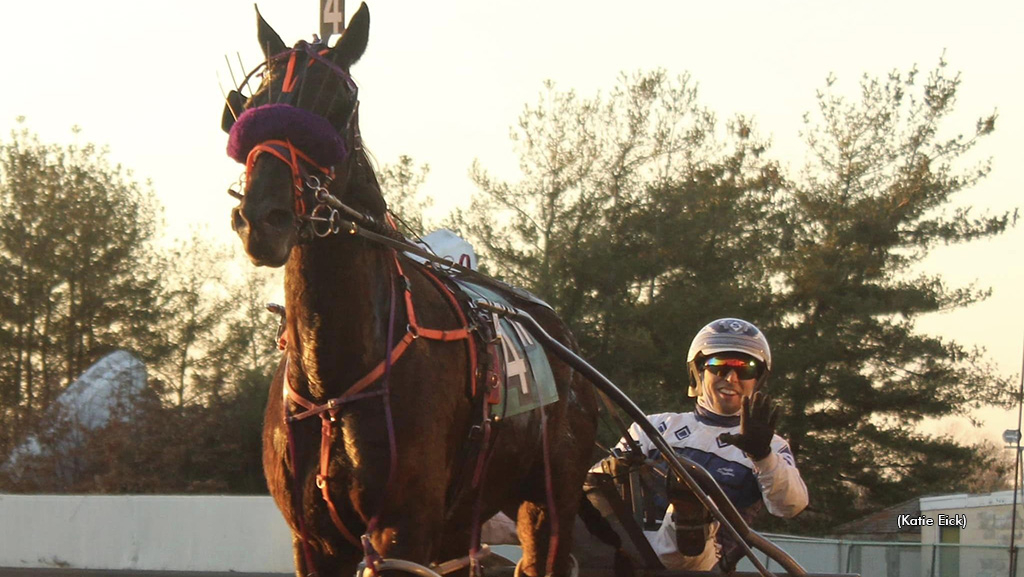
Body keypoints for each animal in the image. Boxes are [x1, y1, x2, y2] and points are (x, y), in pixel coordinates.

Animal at [220, 4, 598, 577]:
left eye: (338, 106)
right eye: (251, 106)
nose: (264, 218)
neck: (335, 382)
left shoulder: (404, 530)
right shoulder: (314, 542)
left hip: (549, 501)